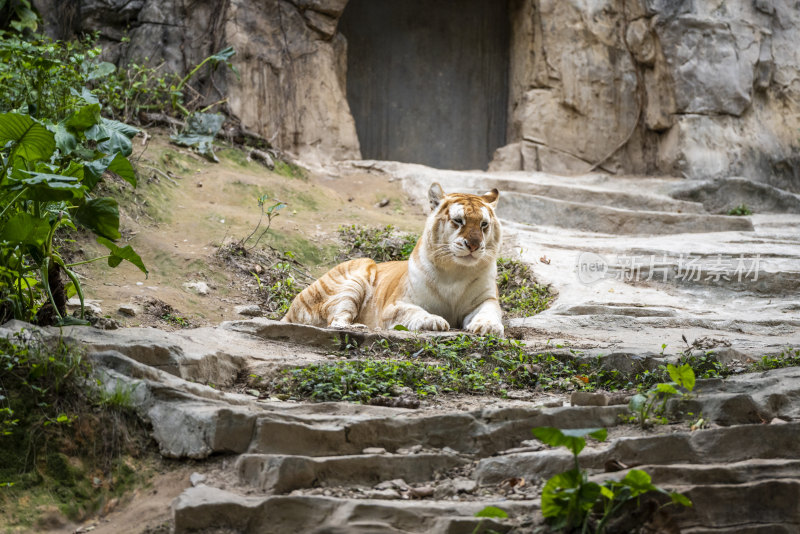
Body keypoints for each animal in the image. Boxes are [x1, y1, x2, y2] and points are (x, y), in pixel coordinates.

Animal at [282, 182, 504, 338]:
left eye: (484, 224)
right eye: (458, 221)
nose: (474, 245)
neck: (456, 271)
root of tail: (288, 311)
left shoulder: (486, 299)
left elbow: (489, 312)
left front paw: (488, 326)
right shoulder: (396, 305)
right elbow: (415, 312)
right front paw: (434, 321)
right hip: (356, 276)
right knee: (335, 321)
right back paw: (360, 326)